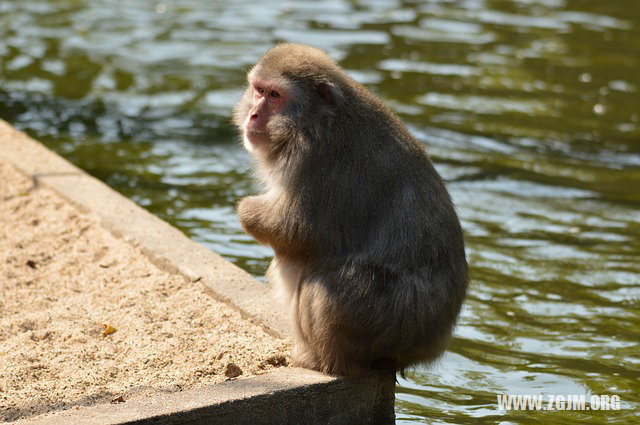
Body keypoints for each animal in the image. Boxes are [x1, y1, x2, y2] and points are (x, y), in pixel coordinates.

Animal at [232, 42, 468, 374]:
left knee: (320, 280)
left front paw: (247, 209)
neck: (316, 121)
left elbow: (296, 231)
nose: (253, 115)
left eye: (275, 95)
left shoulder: (317, 160)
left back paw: (320, 360)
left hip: (383, 319)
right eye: (258, 90)